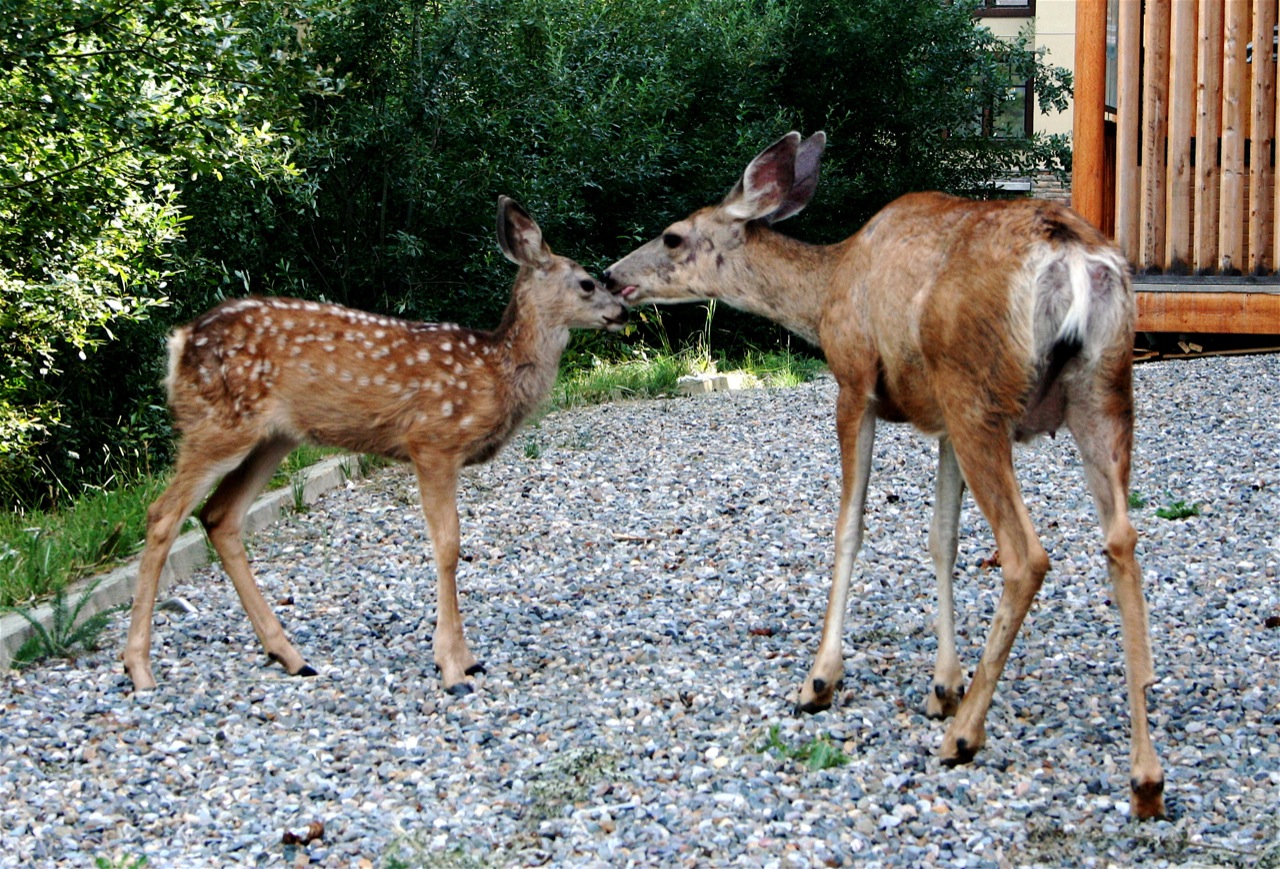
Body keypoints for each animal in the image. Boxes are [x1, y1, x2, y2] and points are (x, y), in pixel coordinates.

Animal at [127, 198, 627, 701]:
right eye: (587, 283)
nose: (623, 310)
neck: (495, 372)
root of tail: (179, 342)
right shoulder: (433, 441)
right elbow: (448, 546)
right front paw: (453, 665)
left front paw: (466, 658)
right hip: (218, 424)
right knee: (163, 514)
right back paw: (139, 669)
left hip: (274, 436)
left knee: (219, 516)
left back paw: (290, 657)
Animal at [604, 132, 1167, 819]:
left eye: (673, 236)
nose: (611, 277)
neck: (826, 291)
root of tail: (1075, 259)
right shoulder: (942, 423)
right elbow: (942, 540)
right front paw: (943, 685)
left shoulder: (855, 382)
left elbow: (849, 527)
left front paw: (821, 678)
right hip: (1101, 391)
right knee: (1122, 542)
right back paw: (1145, 778)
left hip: (980, 391)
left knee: (1027, 554)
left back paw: (965, 737)